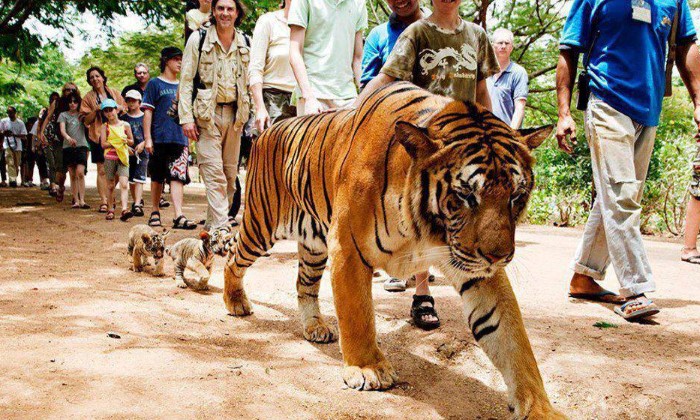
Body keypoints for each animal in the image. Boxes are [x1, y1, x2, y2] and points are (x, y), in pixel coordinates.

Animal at [224, 81, 564, 416]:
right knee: (232, 257)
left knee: (304, 285)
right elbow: (358, 314)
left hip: (313, 244)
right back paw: (236, 302)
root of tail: (270, 129)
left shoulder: (476, 271)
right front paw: (367, 368)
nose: (498, 257)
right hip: (262, 225)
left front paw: (540, 407)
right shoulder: (348, 248)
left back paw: (315, 327)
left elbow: (512, 338)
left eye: (516, 196)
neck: (422, 230)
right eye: (466, 194)